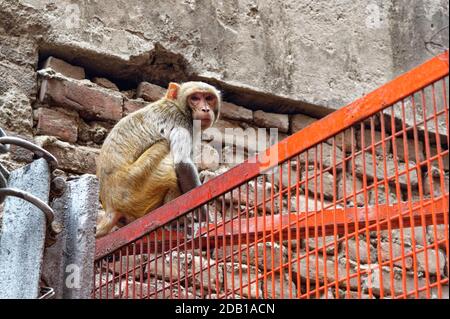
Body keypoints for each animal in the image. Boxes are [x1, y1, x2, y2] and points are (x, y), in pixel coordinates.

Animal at [96, 81, 221, 239]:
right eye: (195, 98)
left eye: (209, 98)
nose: (205, 109)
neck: (178, 106)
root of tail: (110, 206)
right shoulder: (180, 122)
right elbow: (183, 165)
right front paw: (205, 218)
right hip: (135, 186)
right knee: (165, 147)